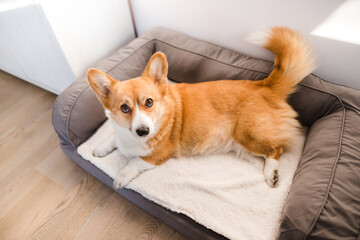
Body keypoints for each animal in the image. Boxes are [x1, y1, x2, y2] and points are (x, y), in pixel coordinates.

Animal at [87, 27, 316, 189]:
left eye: (149, 102)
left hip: (248, 134)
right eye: (124, 108)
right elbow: (112, 139)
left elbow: (133, 162)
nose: (143, 131)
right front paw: (100, 148)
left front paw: (121, 177)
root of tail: (264, 85)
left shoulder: (158, 156)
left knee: (276, 149)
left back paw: (271, 174)